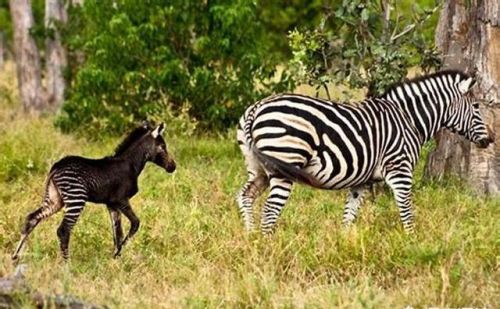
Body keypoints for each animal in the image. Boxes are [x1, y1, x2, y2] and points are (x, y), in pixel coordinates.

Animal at [12, 121, 176, 258]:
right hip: (76, 198)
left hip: (55, 200)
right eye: (163, 147)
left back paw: (16, 257)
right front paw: (118, 253)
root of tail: (56, 167)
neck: (130, 164)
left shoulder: (112, 204)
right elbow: (135, 224)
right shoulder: (121, 200)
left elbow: (117, 233)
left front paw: (116, 258)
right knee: (63, 230)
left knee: (32, 218)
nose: (173, 167)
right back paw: (66, 264)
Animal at [236, 70, 494, 233]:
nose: (491, 139)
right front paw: (413, 242)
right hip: (284, 162)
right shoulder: (400, 170)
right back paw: (268, 246)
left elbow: (349, 215)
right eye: (476, 106)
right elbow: (406, 209)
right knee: (270, 211)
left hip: (258, 168)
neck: (409, 119)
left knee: (245, 196)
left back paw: (251, 238)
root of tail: (257, 108)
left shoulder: (360, 181)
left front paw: (344, 246)